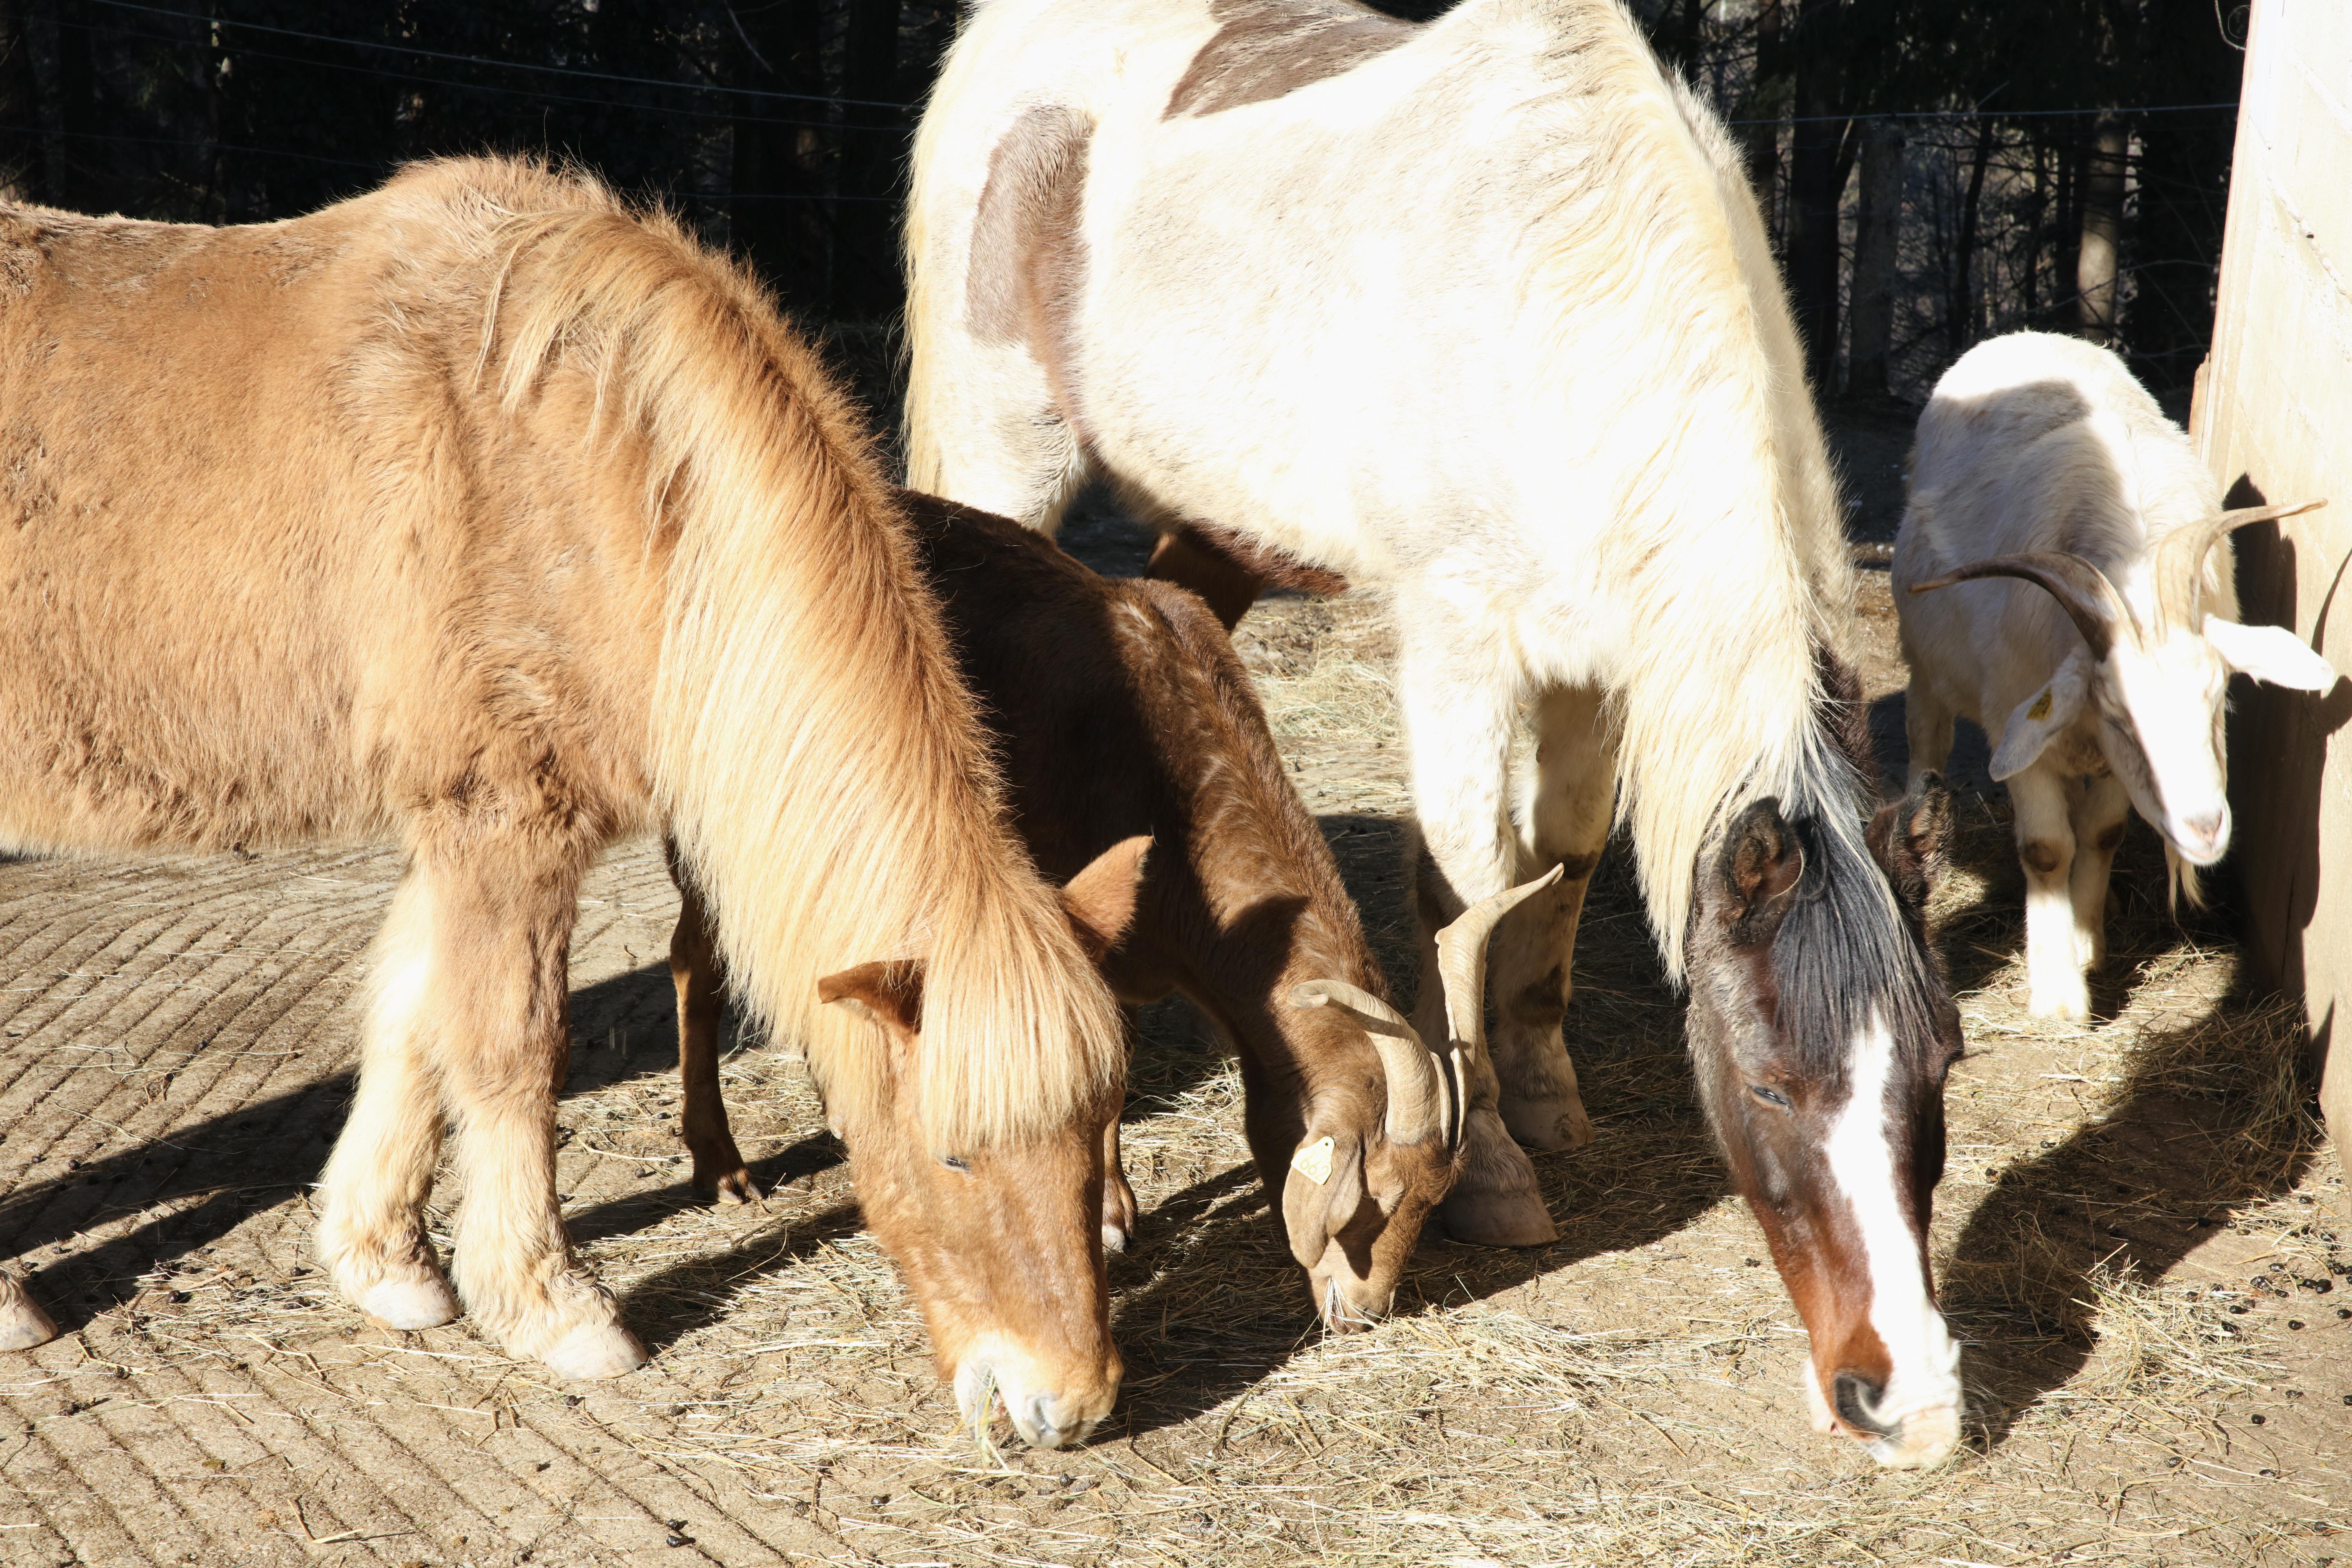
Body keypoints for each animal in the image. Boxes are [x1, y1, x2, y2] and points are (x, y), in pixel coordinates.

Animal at [0, 156, 1129, 1448]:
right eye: (952, 1160)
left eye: (1100, 1129)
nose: (1069, 1405)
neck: (589, 456)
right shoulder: (509, 824)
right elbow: (509, 1048)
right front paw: (550, 1306)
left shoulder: (453, 830)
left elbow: (410, 1020)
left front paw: (388, 1264)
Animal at [663, 496, 1552, 1335]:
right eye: (1371, 1200)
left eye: (1432, 1200)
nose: (1362, 1312)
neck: (1165, 773)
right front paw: (1112, 1216)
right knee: (696, 958)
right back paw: (723, 1165)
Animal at [1891, 331, 2333, 1020]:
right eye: (2123, 718)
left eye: (2217, 699)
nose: (2205, 827)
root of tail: (2026, 335)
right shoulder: (2020, 724)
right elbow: (2046, 848)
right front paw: (2058, 994)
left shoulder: (2107, 763)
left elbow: (2101, 834)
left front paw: (2086, 944)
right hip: (1925, 665)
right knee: (1927, 738)